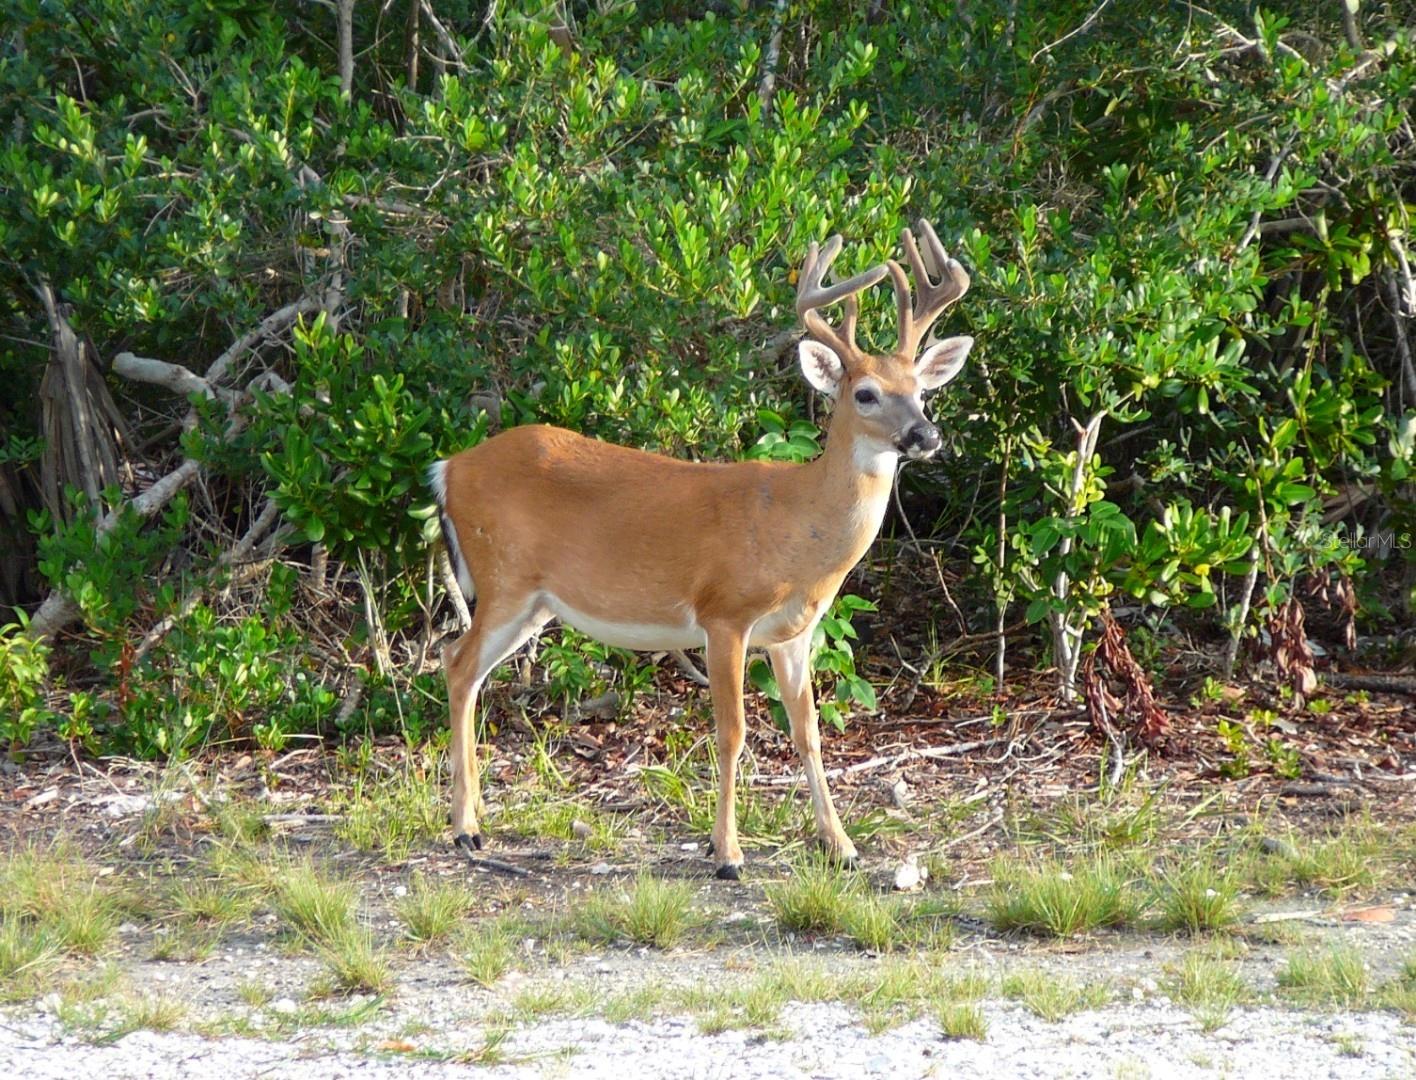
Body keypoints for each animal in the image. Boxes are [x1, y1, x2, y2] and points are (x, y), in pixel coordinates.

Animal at [430, 219, 974, 877]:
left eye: (921, 390)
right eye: (865, 393)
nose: (926, 435)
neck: (797, 528)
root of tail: (448, 468)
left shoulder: (793, 633)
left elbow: (808, 731)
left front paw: (840, 845)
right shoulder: (725, 613)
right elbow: (732, 731)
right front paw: (728, 853)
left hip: (533, 602)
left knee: (464, 668)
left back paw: (475, 821)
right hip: (504, 577)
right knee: (457, 662)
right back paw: (463, 830)